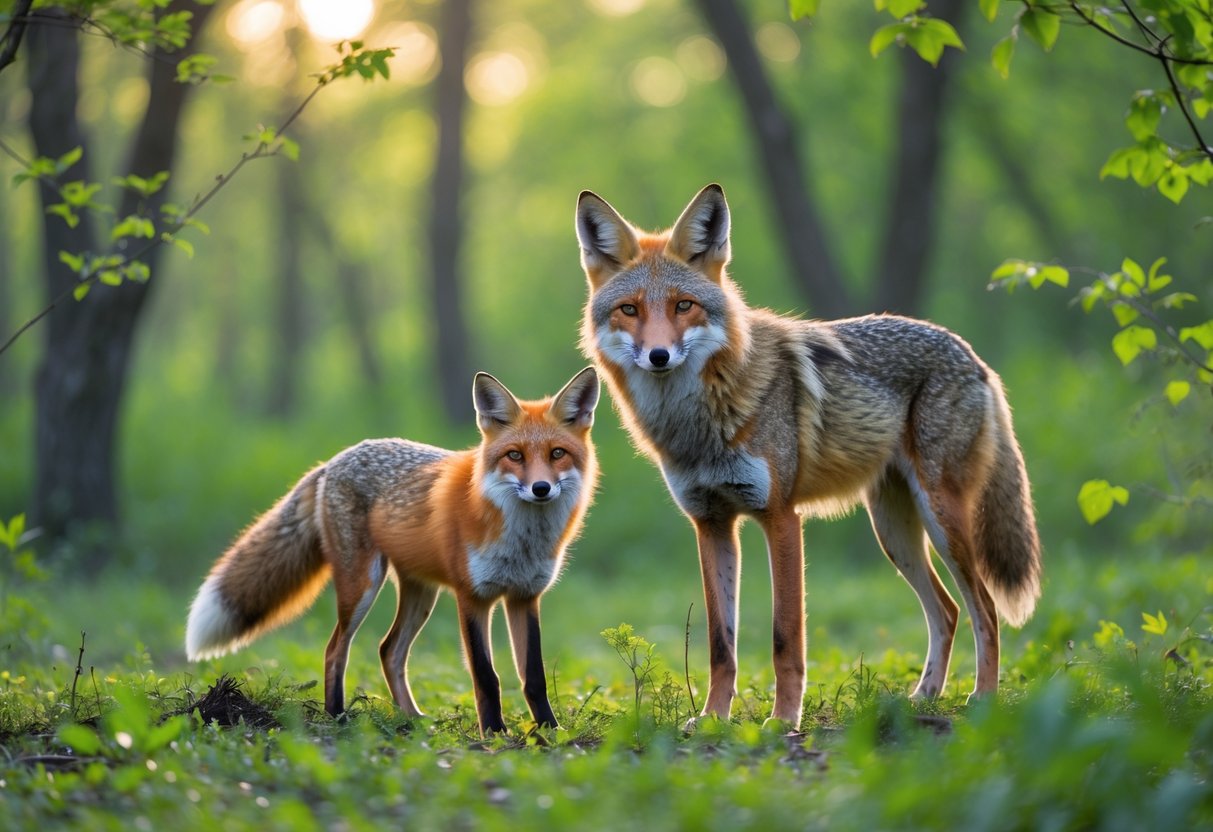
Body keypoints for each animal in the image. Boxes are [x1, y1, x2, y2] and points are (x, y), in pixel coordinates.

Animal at [185, 367, 600, 737]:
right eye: (514, 456)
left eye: (557, 453)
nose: (541, 489)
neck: (522, 540)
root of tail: (333, 460)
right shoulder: (472, 598)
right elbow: (487, 675)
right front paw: (495, 733)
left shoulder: (524, 597)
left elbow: (533, 676)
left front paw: (549, 731)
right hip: (363, 586)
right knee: (335, 649)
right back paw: (337, 717)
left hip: (422, 595)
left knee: (389, 651)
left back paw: (412, 720)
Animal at [574, 184, 1041, 730]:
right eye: (629, 310)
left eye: (683, 305)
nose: (658, 356)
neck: (699, 426)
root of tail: (971, 353)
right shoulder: (711, 524)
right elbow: (720, 644)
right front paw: (712, 717)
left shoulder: (781, 517)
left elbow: (785, 638)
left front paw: (783, 720)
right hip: (894, 535)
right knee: (947, 611)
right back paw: (923, 697)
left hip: (941, 519)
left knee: (984, 608)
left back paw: (983, 698)